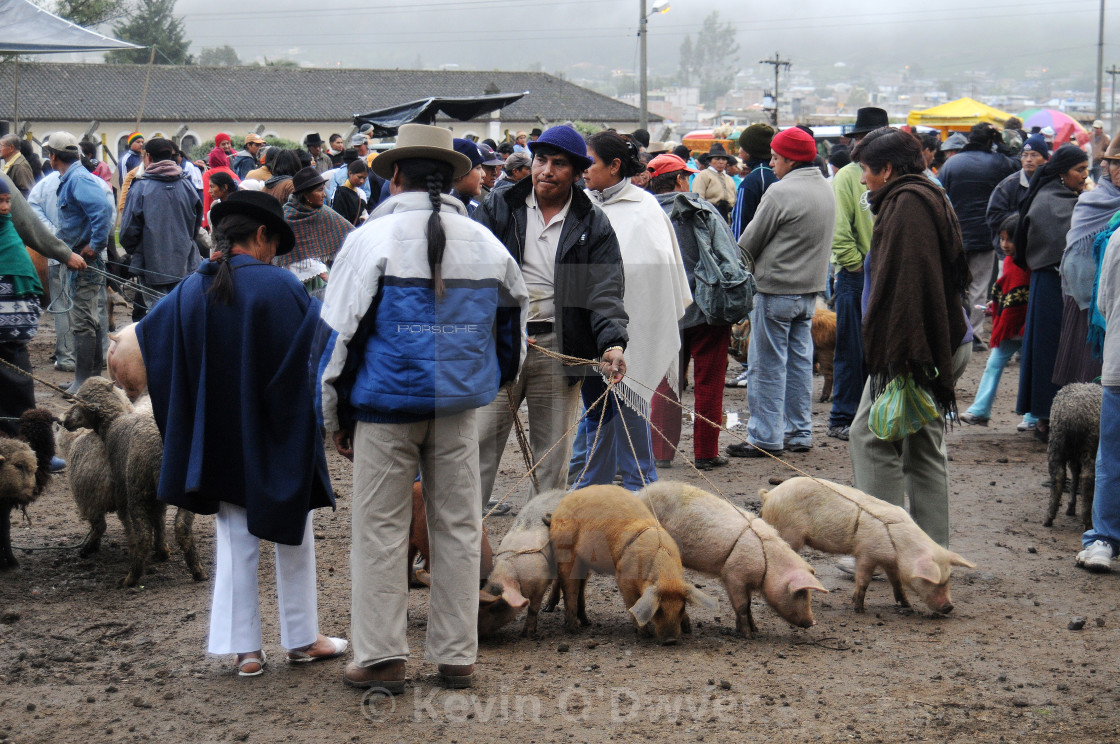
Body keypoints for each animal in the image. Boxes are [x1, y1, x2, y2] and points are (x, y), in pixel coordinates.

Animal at [474, 488, 564, 640]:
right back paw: (548, 609)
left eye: (496, 607)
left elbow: (533, 608)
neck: (511, 571)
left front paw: (526, 634)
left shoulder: (541, 583)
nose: (477, 635)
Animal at [546, 486, 712, 640]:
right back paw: (572, 628)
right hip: (565, 549)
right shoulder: (623, 578)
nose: (670, 640)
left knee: (579, 586)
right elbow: (633, 603)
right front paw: (644, 634)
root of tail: (560, 506)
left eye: (682, 608)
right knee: (569, 587)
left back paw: (587, 622)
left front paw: (688, 629)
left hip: (584, 561)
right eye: (659, 610)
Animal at [636, 481, 828, 631]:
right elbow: (742, 605)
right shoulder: (733, 575)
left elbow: (748, 606)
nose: (812, 622)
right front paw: (748, 635)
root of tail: (640, 493)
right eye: (801, 593)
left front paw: (755, 629)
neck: (767, 563)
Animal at [757, 477, 976, 614]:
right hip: (787, 532)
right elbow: (863, 580)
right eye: (931, 581)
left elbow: (897, 582)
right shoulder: (866, 553)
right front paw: (859, 609)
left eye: (947, 580)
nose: (949, 607)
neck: (899, 547)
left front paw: (907, 606)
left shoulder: (889, 561)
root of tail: (768, 495)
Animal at [1043, 383, 1097, 528]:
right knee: (1086, 478)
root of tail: (1075, 414)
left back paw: (1049, 517)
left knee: (1058, 477)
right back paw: (1087, 520)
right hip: (1089, 446)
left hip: (1057, 443)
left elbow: (1074, 476)